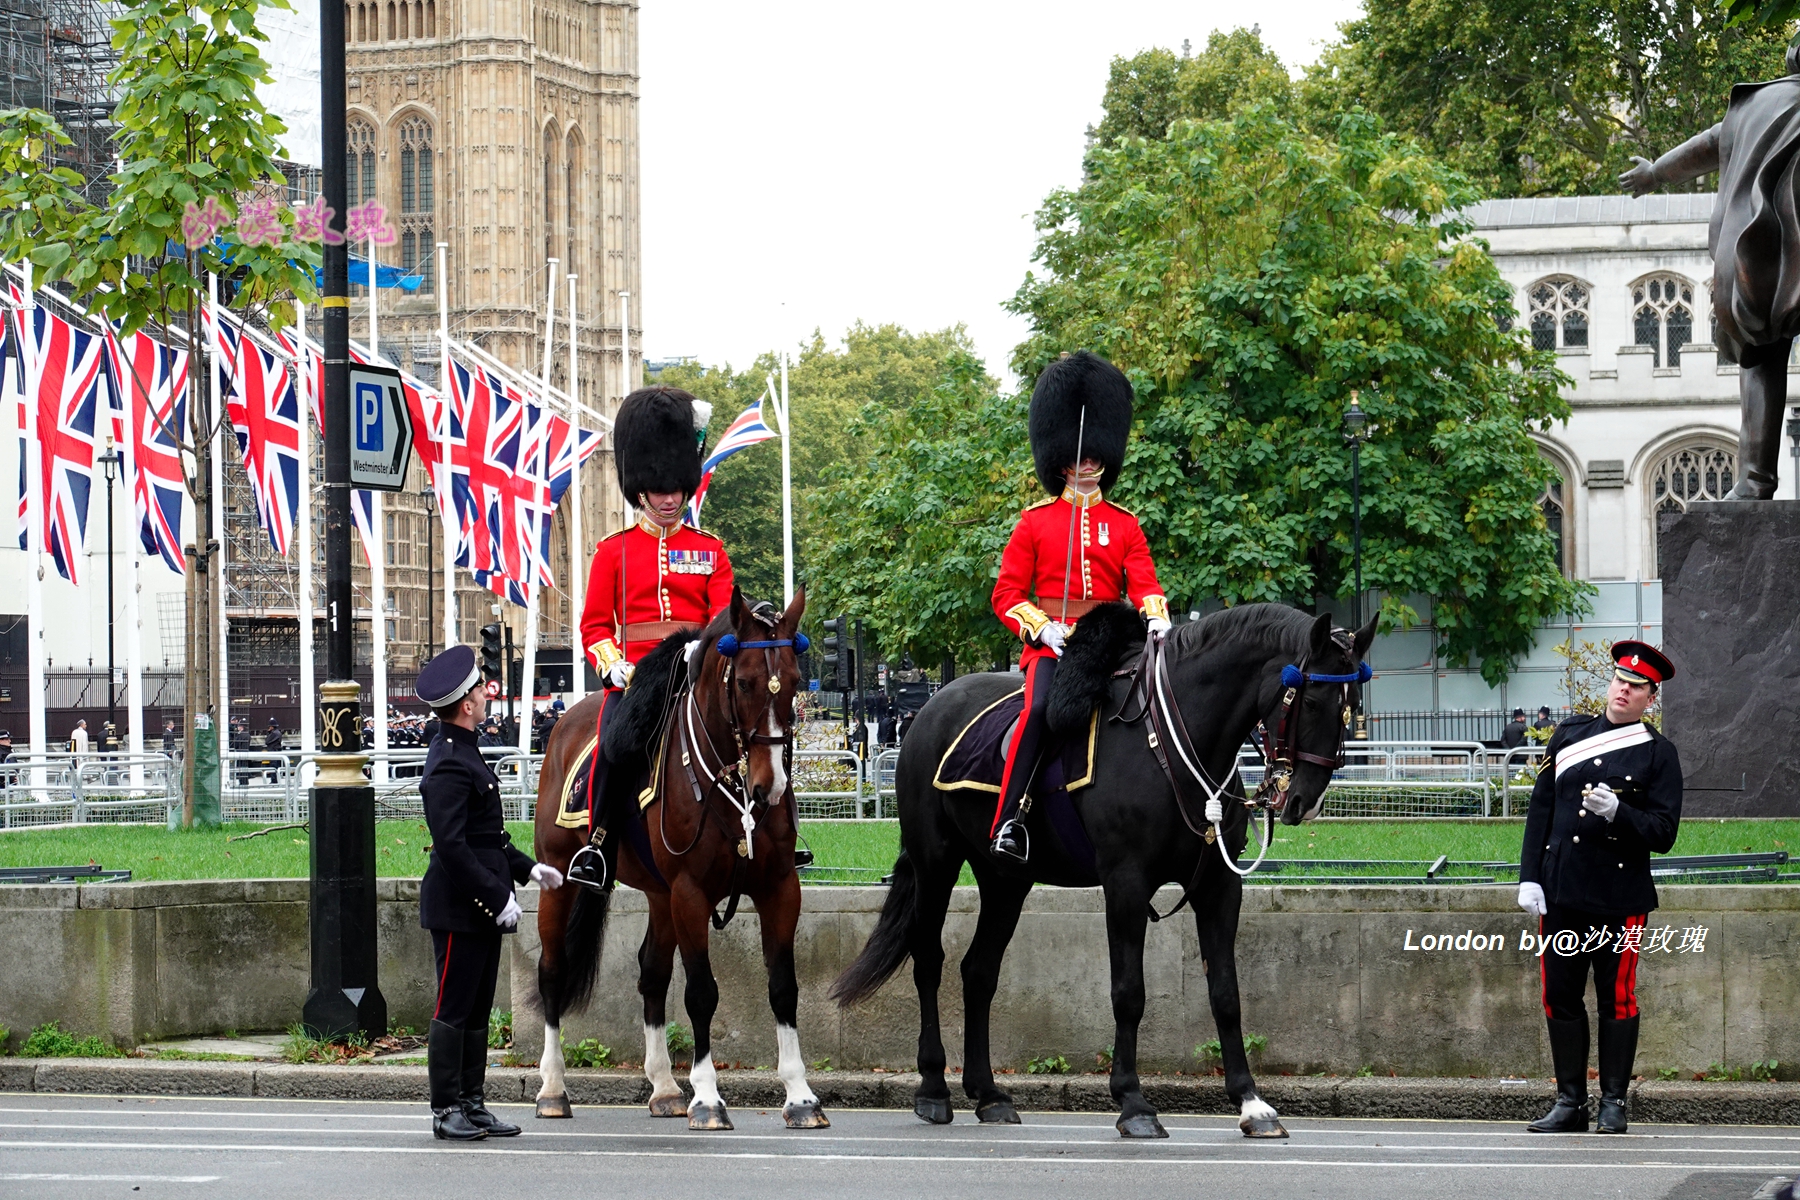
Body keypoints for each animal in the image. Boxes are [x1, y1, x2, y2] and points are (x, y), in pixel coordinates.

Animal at [525, 586, 824, 1129]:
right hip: (561, 877)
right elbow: (702, 992)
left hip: (658, 894)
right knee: (553, 972)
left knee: (652, 975)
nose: (771, 789)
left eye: (794, 682)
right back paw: (553, 1089)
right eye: (744, 682)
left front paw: (800, 1095)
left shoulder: (778, 888)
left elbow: (783, 987)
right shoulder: (691, 892)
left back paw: (664, 1088)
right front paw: (707, 1096)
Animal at [831, 604, 1375, 1144]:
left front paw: (1250, 1101)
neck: (1174, 741)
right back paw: (933, 1089)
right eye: (1313, 700)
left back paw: (989, 1094)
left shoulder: (1219, 886)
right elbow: (1128, 992)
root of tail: (930, 707)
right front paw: (1133, 1101)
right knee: (928, 962)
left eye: (1352, 705)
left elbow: (1225, 992)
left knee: (979, 971)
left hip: (1006, 879)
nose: (1306, 801)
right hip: (936, 863)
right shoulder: (1125, 882)